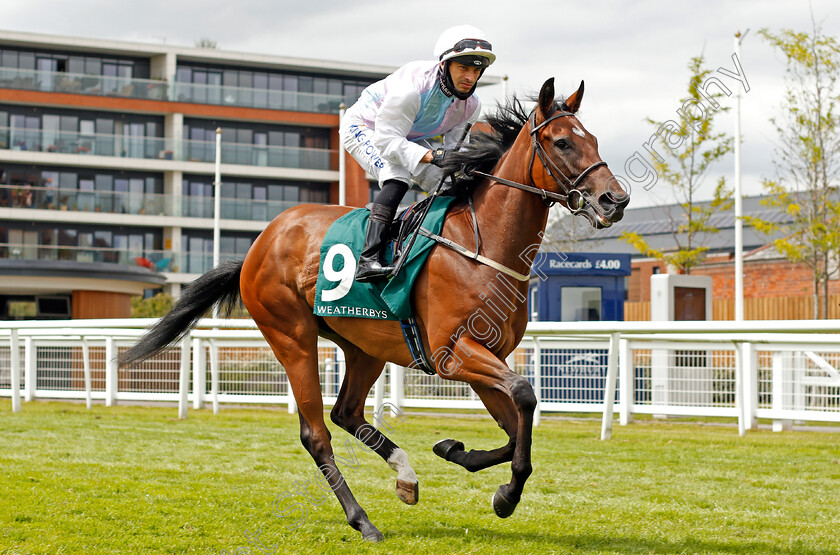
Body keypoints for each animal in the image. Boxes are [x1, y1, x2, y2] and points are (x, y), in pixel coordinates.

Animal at [121, 78, 628, 544]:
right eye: (562, 142)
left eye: (593, 139)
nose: (615, 200)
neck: (480, 247)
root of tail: (257, 245)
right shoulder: (453, 354)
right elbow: (524, 396)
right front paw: (504, 494)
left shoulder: (488, 355)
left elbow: (512, 426)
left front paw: (456, 452)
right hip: (291, 337)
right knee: (316, 433)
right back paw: (363, 520)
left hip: (364, 346)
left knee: (346, 413)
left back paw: (405, 476)